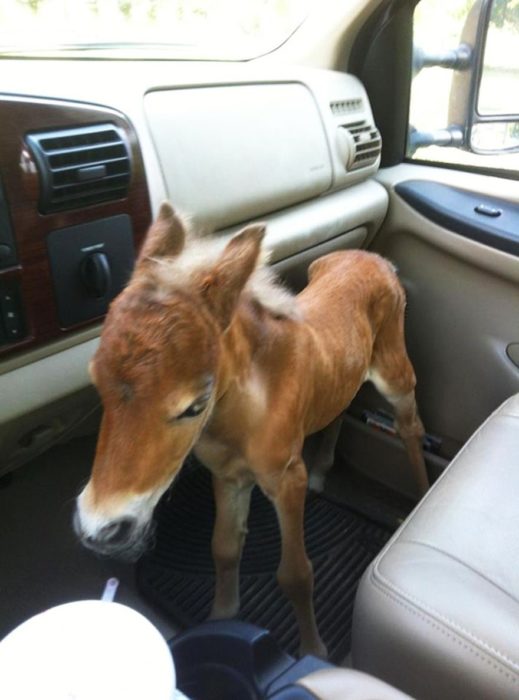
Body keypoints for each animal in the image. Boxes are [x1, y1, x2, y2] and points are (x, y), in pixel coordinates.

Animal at [74, 202, 430, 656]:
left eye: (195, 405)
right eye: (96, 382)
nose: (100, 528)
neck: (239, 417)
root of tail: (376, 259)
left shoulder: (286, 477)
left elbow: (296, 573)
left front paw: (313, 650)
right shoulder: (227, 476)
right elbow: (224, 550)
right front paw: (220, 618)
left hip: (394, 369)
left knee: (410, 426)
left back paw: (421, 497)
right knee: (340, 405)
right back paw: (323, 471)